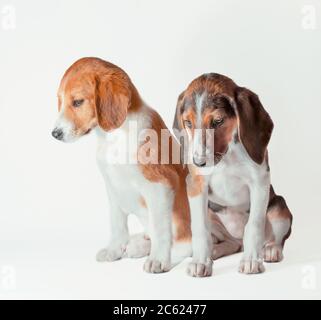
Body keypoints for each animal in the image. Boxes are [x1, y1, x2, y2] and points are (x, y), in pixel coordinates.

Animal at [51, 57, 190, 272]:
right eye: (61, 100)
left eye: (78, 102)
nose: (55, 134)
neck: (114, 137)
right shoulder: (112, 186)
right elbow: (117, 224)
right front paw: (114, 250)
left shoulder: (161, 184)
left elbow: (161, 229)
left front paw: (158, 259)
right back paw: (139, 244)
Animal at [174, 74, 292, 276]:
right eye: (188, 123)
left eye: (218, 121)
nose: (198, 162)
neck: (226, 158)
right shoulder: (196, 186)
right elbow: (200, 229)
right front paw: (200, 262)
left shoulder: (260, 182)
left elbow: (254, 226)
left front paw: (251, 261)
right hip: (212, 212)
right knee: (231, 243)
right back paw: (214, 252)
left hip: (279, 209)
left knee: (274, 238)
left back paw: (270, 250)